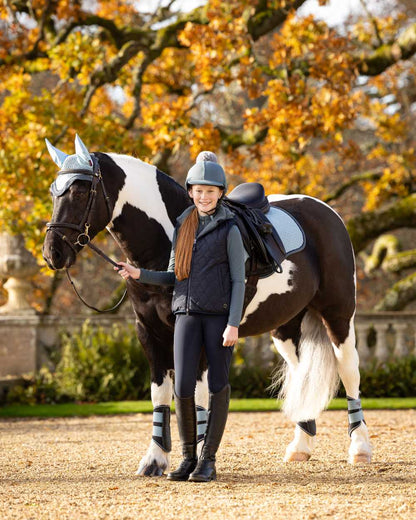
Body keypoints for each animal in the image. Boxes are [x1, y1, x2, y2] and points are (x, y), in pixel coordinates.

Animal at [43, 135, 374, 476]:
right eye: (54, 191)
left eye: (81, 191)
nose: (52, 253)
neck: (168, 244)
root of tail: (326, 213)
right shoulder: (148, 333)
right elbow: (161, 394)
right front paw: (155, 459)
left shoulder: (199, 334)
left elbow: (199, 395)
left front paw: (199, 460)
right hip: (285, 327)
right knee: (301, 373)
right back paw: (301, 447)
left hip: (338, 315)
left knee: (349, 372)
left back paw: (360, 449)